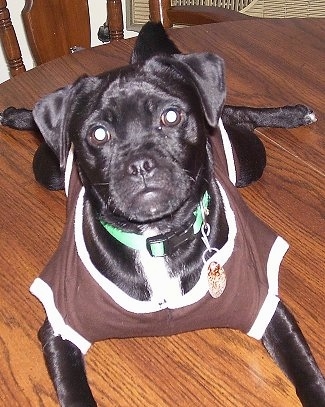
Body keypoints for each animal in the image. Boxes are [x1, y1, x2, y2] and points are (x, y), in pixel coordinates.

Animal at [1, 23, 322, 407]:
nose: (140, 163)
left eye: (171, 116)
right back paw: (16, 115)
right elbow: (75, 392)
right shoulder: (61, 326)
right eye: (98, 134)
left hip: (248, 161)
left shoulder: (266, 304)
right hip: (50, 166)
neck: (157, 238)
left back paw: (292, 114)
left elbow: (304, 367)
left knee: (235, 112)